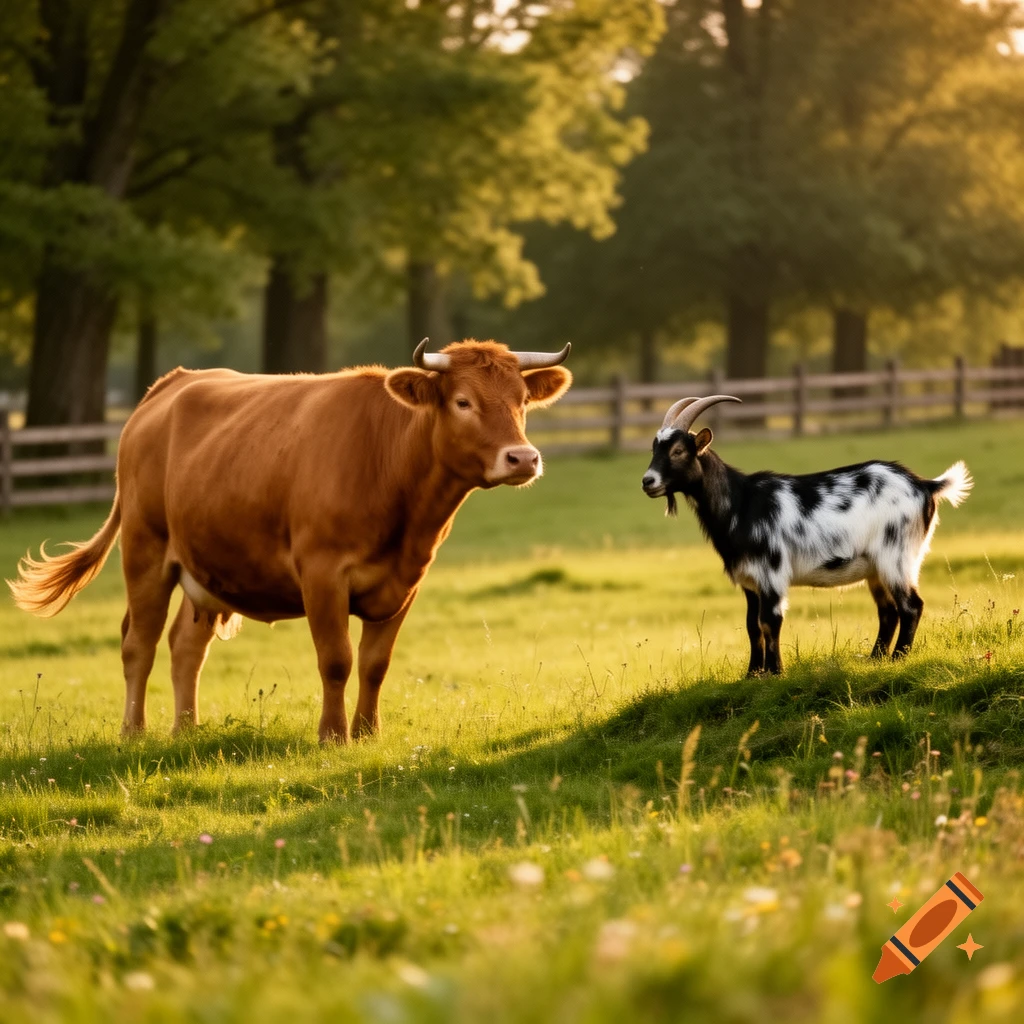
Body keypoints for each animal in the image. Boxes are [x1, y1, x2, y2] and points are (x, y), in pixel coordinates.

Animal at [9, 339, 572, 743]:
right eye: (462, 401)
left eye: (522, 401)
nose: (523, 458)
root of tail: (171, 386)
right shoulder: (322, 574)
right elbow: (337, 659)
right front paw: (333, 736)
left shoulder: (406, 581)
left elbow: (375, 663)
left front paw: (368, 734)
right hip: (146, 550)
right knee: (138, 644)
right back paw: (134, 732)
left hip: (205, 565)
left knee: (185, 646)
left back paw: (186, 730)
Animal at [641, 396, 972, 675]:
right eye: (654, 449)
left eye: (678, 451)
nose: (648, 481)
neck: (741, 502)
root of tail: (925, 485)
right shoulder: (750, 581)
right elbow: (752, 626)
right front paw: (752, 675)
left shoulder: (771, 573)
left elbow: (770, 621)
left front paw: (775, 672)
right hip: (876, 568)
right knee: (888, 611)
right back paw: (875, 659)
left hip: (897, 557)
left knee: (910, 606)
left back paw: (897, 659)